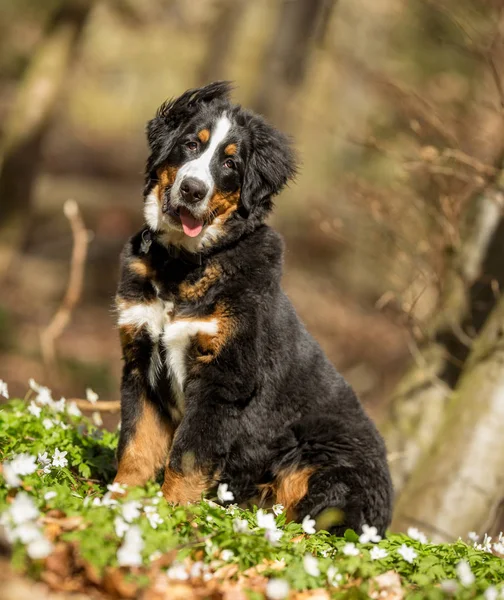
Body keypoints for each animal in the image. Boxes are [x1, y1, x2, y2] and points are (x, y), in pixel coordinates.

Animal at [114, 82, 394, 536]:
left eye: (230, 164)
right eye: (191, 144)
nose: (192, 189)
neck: (183, 267)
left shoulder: (224, 379)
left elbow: (188, 457)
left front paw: (170, 516)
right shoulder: (140, 360)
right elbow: (136, 446)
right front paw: (114, 503)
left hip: (321, 460)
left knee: (316, 526)